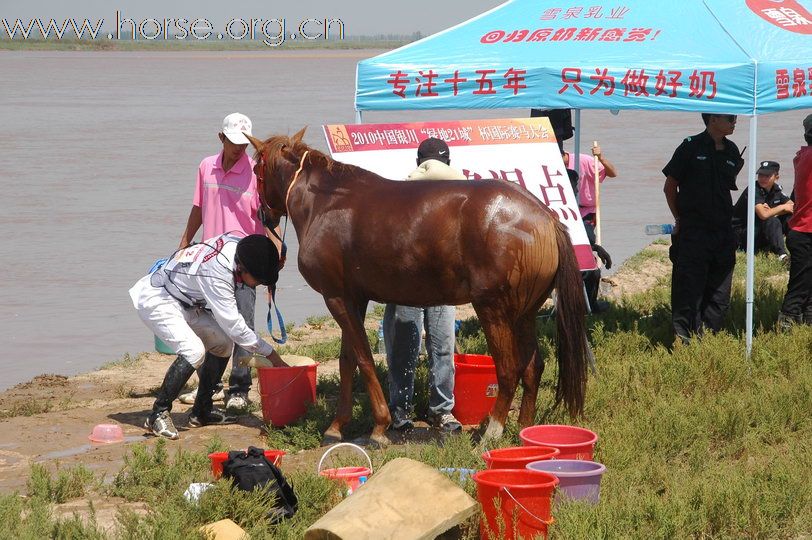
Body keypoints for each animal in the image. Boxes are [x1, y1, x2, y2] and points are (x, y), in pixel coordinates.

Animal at [244, 129, 588, 446]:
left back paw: (492, 432)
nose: (262, 214)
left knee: (508, 370)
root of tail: (545, 216)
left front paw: (379, 427)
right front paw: (337, 426)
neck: (326, 202)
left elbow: (364, 360)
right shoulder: (353, 298)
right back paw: (523, 430)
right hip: (524, 314)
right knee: (533, 368)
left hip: (494, 310)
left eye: (255, 169)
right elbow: (347, 361)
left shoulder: (336, 297)